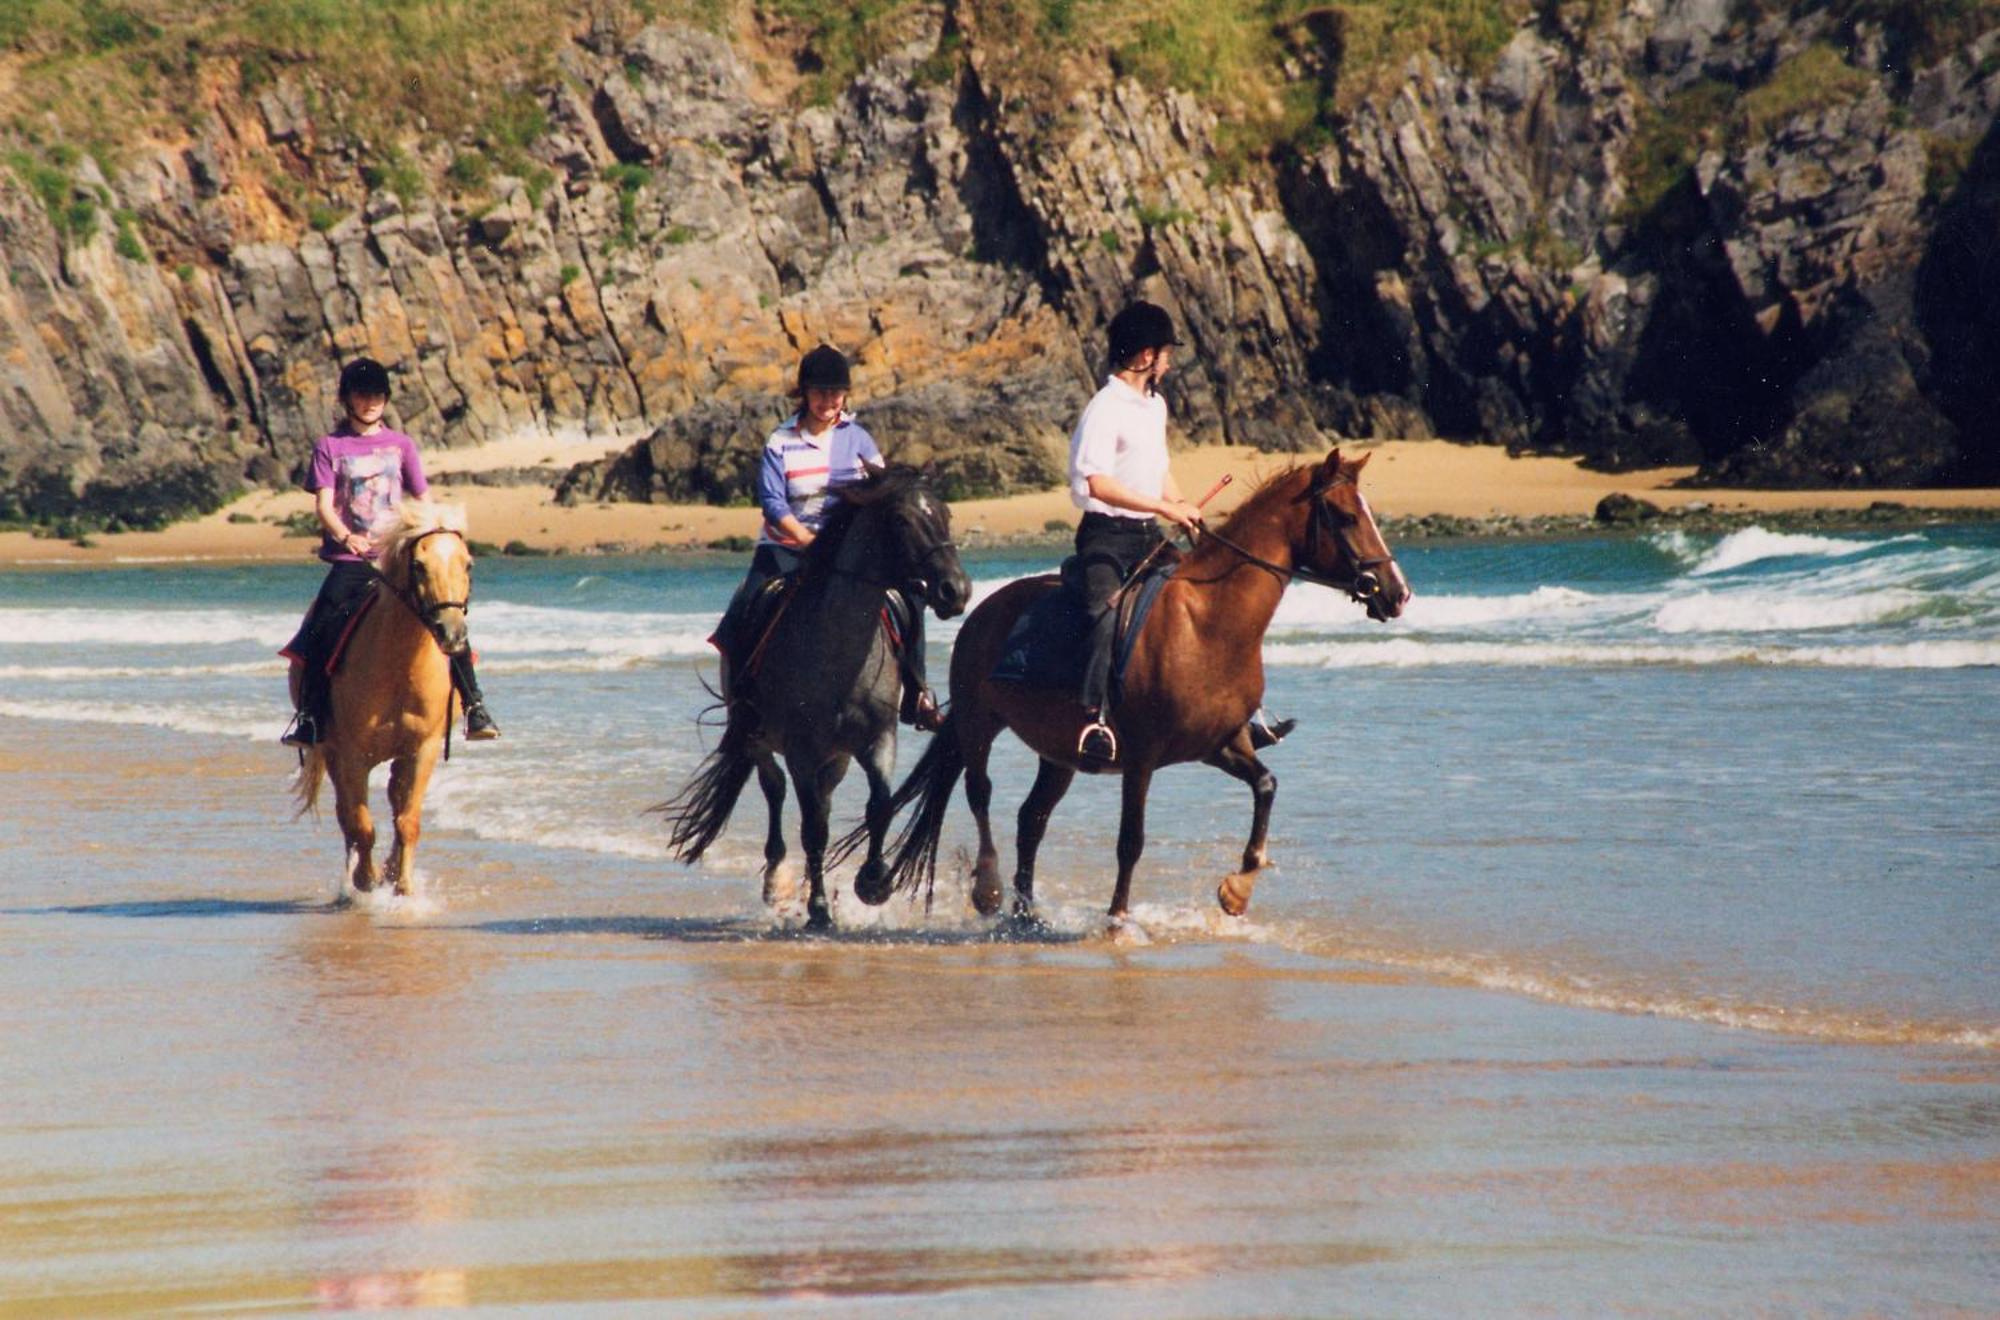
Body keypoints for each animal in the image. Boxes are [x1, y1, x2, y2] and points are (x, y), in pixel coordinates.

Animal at [294, 502, 474, 896]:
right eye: (419, 565)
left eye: (468, 564)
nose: (452, 633)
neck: (399, 667)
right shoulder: (351, 755)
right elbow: (361, 825)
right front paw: (365, 881)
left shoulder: (422, 749)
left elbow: (407, 820)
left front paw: (402, 886)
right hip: (331, 750)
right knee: (345, 815)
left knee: (393, 803)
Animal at [660, 464, 972, 928]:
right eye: (901, 520)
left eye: (946, 514)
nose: (957, 591)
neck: (838, 652)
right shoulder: (801, 751)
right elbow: (813, 830)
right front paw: (820, 910)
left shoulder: (878, 740)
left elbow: (879, 805)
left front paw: (873, 882)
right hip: (758, 741)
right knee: (776, 793)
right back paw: (778, 884)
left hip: (835, 759)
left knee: (821, 802)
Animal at [868, 448, 1416, 924]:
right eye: (1345, 517)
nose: (1398, 593)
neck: (1208, 623)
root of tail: (980, 608)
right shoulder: (1142, 756)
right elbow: (1131, 839)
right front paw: (1117, 918)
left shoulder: (1220, 744)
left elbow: (1266, 786)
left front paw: (1236, 890)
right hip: (980, 723)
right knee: (980, 793)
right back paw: (989, 890)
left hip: (1058, 754)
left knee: (1031, 820)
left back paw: (1027, 916)